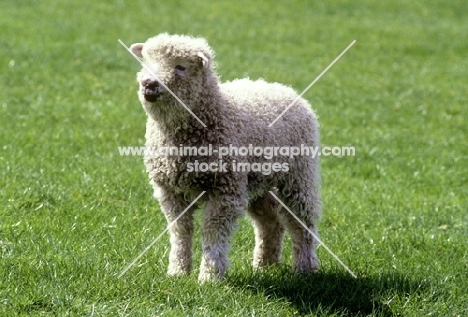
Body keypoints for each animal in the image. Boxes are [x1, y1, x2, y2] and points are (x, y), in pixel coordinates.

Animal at [130, 34, 322, 282]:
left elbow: (212, 230)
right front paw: (178, 272)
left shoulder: (225, 190)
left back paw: (305, 267)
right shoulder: (169, 190)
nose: (149, 84)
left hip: (299, 174)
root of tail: (283, 88)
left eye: (181, 67)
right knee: (269, 222)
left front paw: (210, 276)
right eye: (146, 62)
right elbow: (181, 230)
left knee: (302, 221)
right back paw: (265, 264)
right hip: (258, 181)